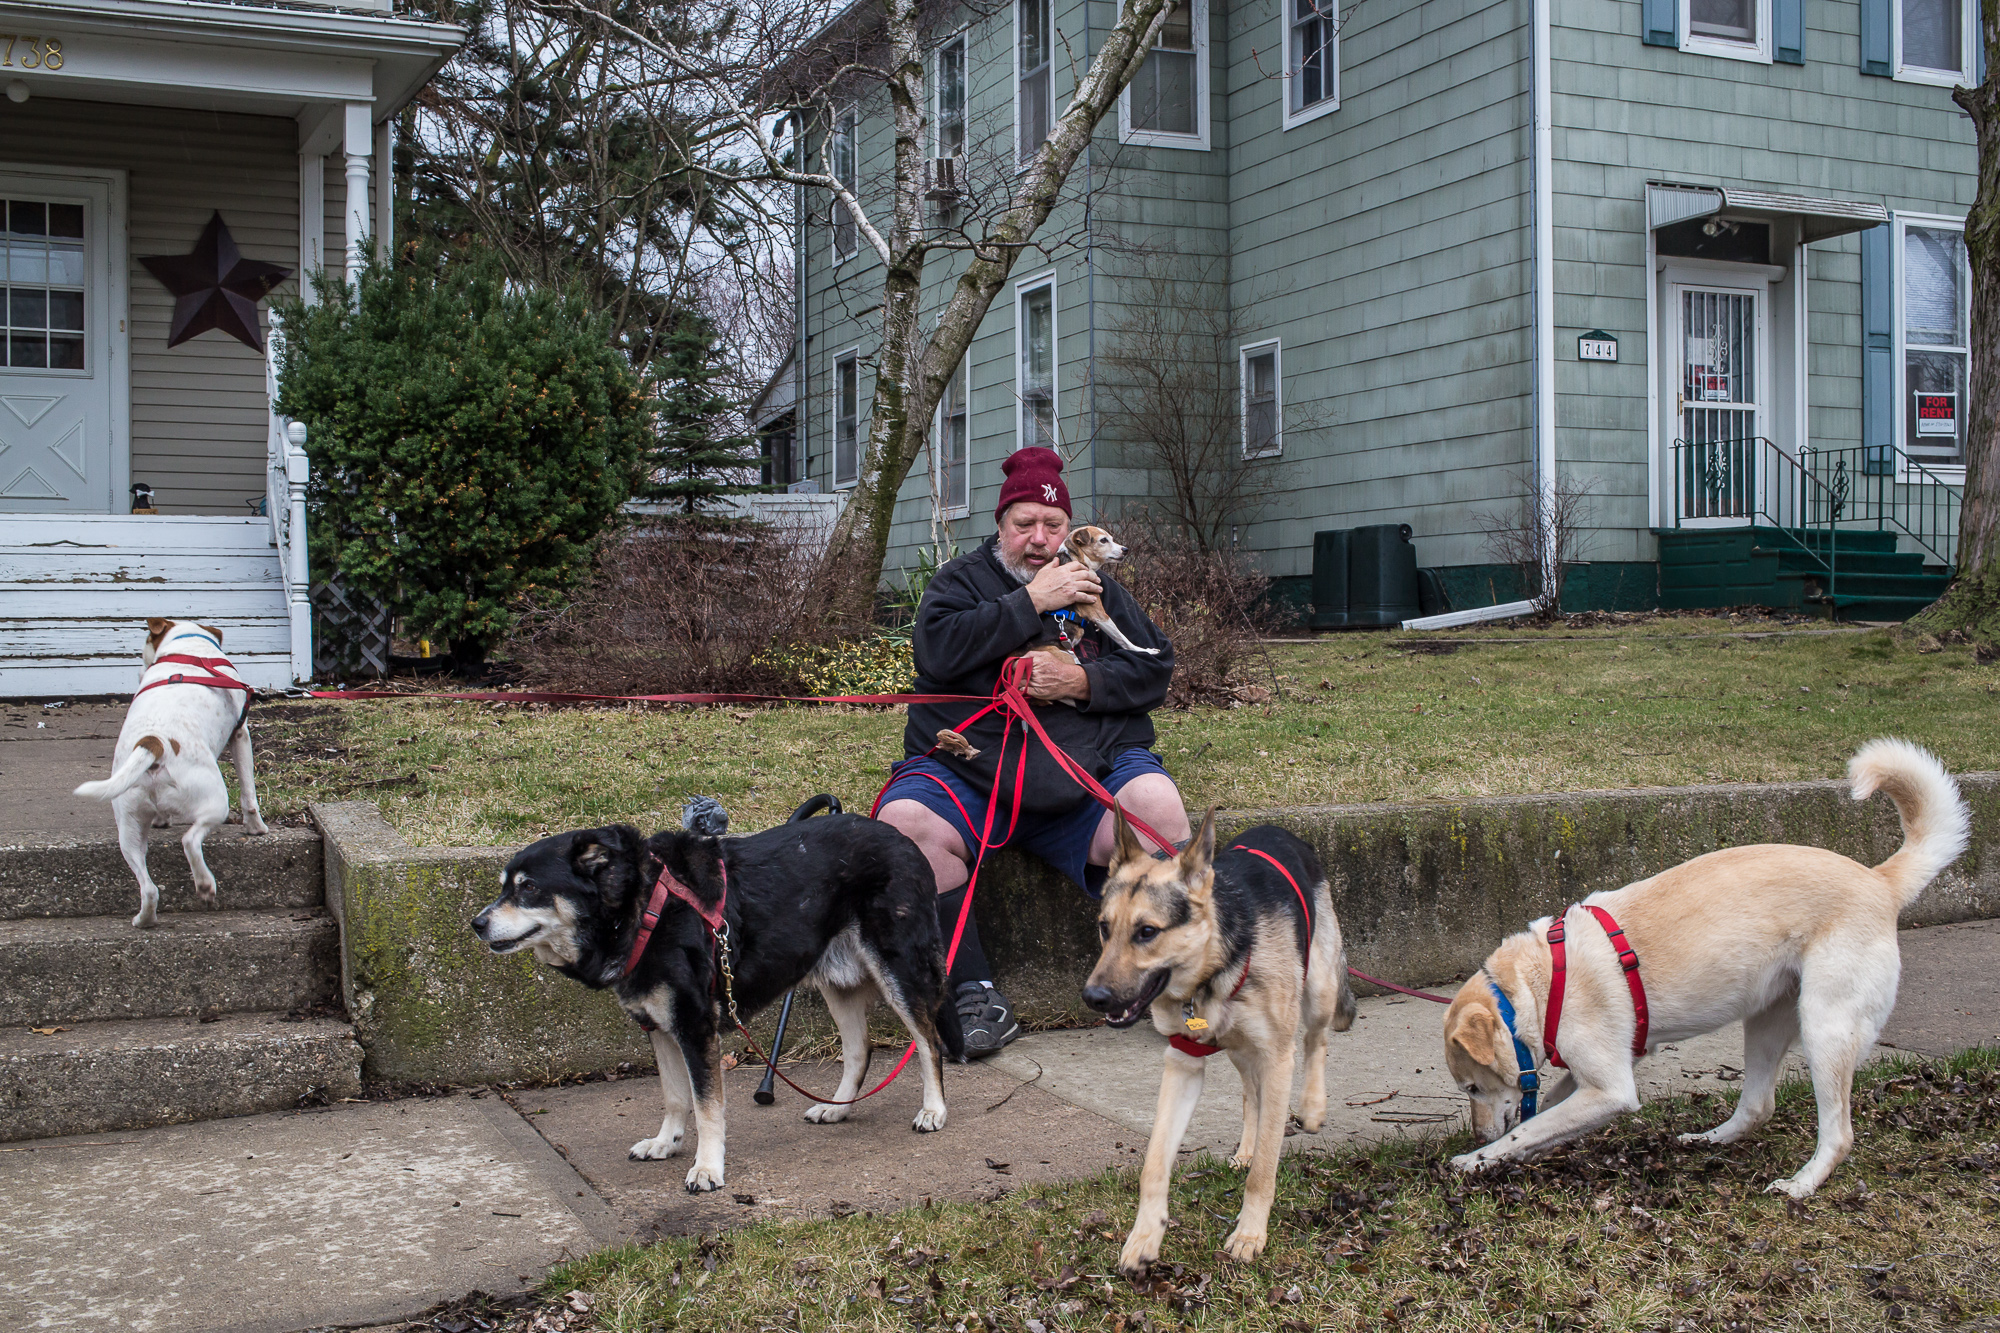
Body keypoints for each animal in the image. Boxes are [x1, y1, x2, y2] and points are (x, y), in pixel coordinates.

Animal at [74, 616, 266, 920]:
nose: (139, 670)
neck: (188, 645)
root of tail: (152, 743)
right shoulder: (241, 734)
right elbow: (248, 792)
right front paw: (256, 827)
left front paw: (161, 820)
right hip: (215, 802)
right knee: (190, 841)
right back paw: (204, 884)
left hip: (128, 825)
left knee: (148, 887)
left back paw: (145, 919)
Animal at [472, 792, 964, 1184]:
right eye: (503, 889)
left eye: (529, 888)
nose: (477, 923)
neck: (642, 906)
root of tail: (903, 839)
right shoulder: (660, 1027)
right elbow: (675, 1096)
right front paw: (666, 1141)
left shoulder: (694, 1027)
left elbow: (706, 1107)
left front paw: (708, 1167)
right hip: (836, 982)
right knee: (860, 1050)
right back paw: (838, 1107)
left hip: (900, 971)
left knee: (928, 1041)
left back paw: (934, 1110)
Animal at [1088, 804, 1352, 1272]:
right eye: (1105, 927)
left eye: (1146, 932)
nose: (1093, 997)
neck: (1213, 968)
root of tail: (1282, 832)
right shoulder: (1183, 1063)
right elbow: (1154, 1164)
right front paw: (1145, 1235)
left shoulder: (1278, 1058)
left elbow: (1264, 1171)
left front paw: (1249, 1233)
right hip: (1241, 1049)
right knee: (1251, 1092)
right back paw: (1247, 1145)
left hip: (1319, 991)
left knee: (1315, 1041)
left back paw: (1312, 1107)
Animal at [1440, 736, 1968, 1192]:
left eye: (1472, 1088)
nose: (1478, 1135)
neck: (1538, 982)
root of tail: (1881, 881)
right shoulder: (1604, 1068)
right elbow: (1546, 1114)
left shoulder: (1612, 1088)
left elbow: (1528, 1127)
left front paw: (1477, 1159)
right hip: (1767, 1022)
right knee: (1758, 1105)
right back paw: (1707, 1142)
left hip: (1825, 1029)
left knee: (1838, 1135)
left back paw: (1799, 1186)